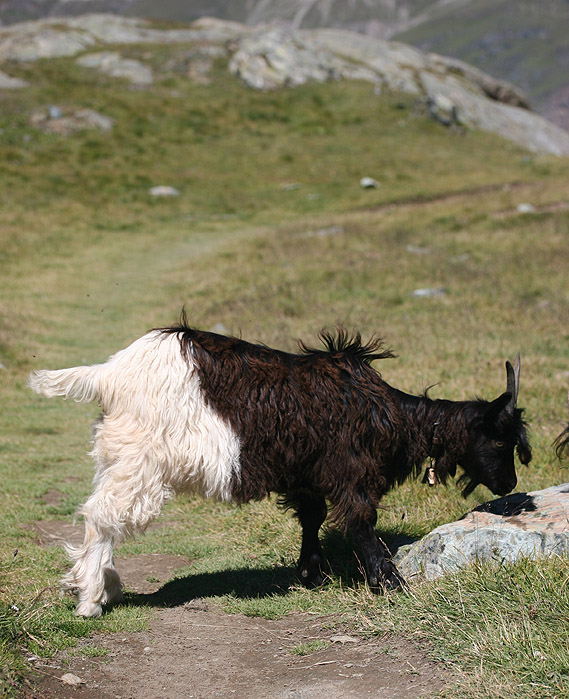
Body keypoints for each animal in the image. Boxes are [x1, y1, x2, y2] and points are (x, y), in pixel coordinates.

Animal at [27, 318, 532, 616]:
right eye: (500, 438)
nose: (510, 482)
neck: (386, 411)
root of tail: (110, 373)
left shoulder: (308, 475)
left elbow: (312, 518)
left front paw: (311, 572)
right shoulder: (351, 472)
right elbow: (360, 523)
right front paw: (388, 582)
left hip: (116, 457)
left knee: (102, 517)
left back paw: (105, 587)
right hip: (141, 462)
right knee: (101, 518)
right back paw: (90, 601)